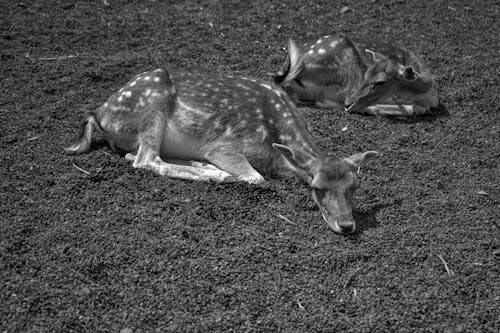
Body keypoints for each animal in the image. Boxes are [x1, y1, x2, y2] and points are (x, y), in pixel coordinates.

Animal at [66, 51, 376, 233]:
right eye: (317, 188)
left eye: (355, 186)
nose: (347, 225)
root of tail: (99, 115)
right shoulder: (223, 146)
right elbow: (256, 178)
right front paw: (225, 172)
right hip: (152, 104)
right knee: (146, 160)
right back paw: (217, 174)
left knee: (138, 157)